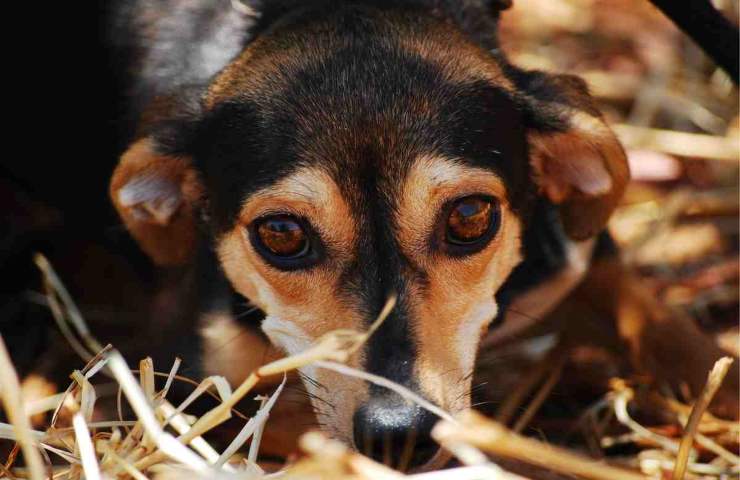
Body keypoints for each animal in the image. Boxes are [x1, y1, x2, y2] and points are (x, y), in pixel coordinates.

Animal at [107, 0, 736, 472]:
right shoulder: (190, 384)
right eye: (281, 233)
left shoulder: (587, 266)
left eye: (470, 216)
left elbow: (691, 346)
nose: (397, 434)